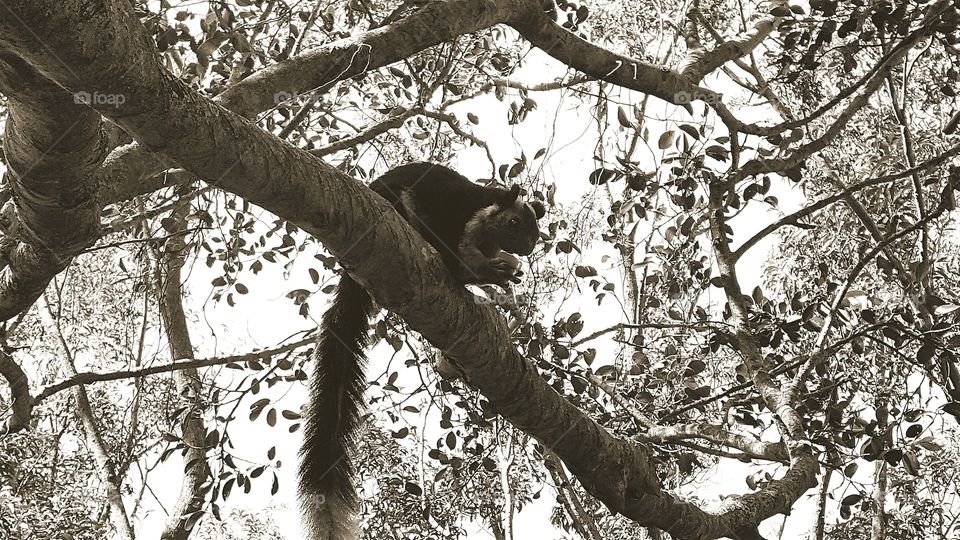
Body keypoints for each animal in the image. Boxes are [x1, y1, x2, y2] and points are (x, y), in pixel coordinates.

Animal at [296, 162, 544, 536]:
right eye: (515, 222)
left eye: (536, 230)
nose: (528, 248)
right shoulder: (449, 208)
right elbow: (448, 245)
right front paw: (484, 270)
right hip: (396, 207)